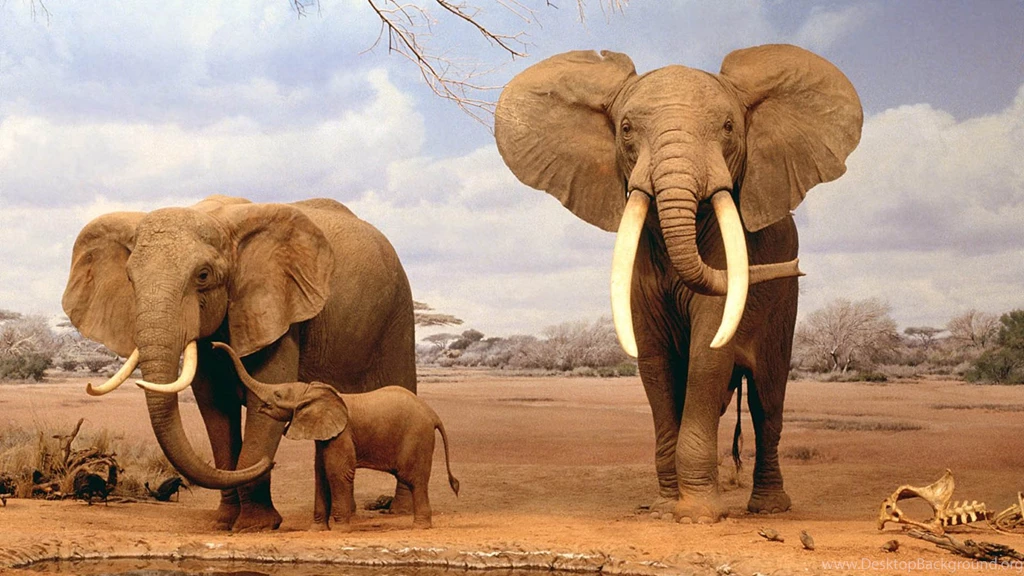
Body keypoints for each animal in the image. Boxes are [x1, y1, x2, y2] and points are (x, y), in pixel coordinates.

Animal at [62, 195, 417, 531]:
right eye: (130, 279)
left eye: (203, 276)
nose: (270, 463)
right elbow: (215, 409)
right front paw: (224, 523)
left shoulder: (277, 311)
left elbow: (264, 400)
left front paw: (254, 526)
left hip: (398, 312)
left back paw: (401, 512)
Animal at [212, 341, 459, 530]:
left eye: (278, 394)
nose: (214, 345)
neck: (313, 391)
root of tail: (433, 414)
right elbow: (321, 473)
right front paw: (317, 530)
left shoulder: (342, 434)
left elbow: (337, 472)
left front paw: (340, 530)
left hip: (417, 437)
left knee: (414, 479)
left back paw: (420, 527)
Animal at [494, 44, 862, 522]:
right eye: (626, 129)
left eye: (728, 127)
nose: (796, 266)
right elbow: (655, 361)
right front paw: (664, 508)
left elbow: (708, 354)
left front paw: (697, 515)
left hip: (785, 306)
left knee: (767, 401)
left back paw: (768, 509)